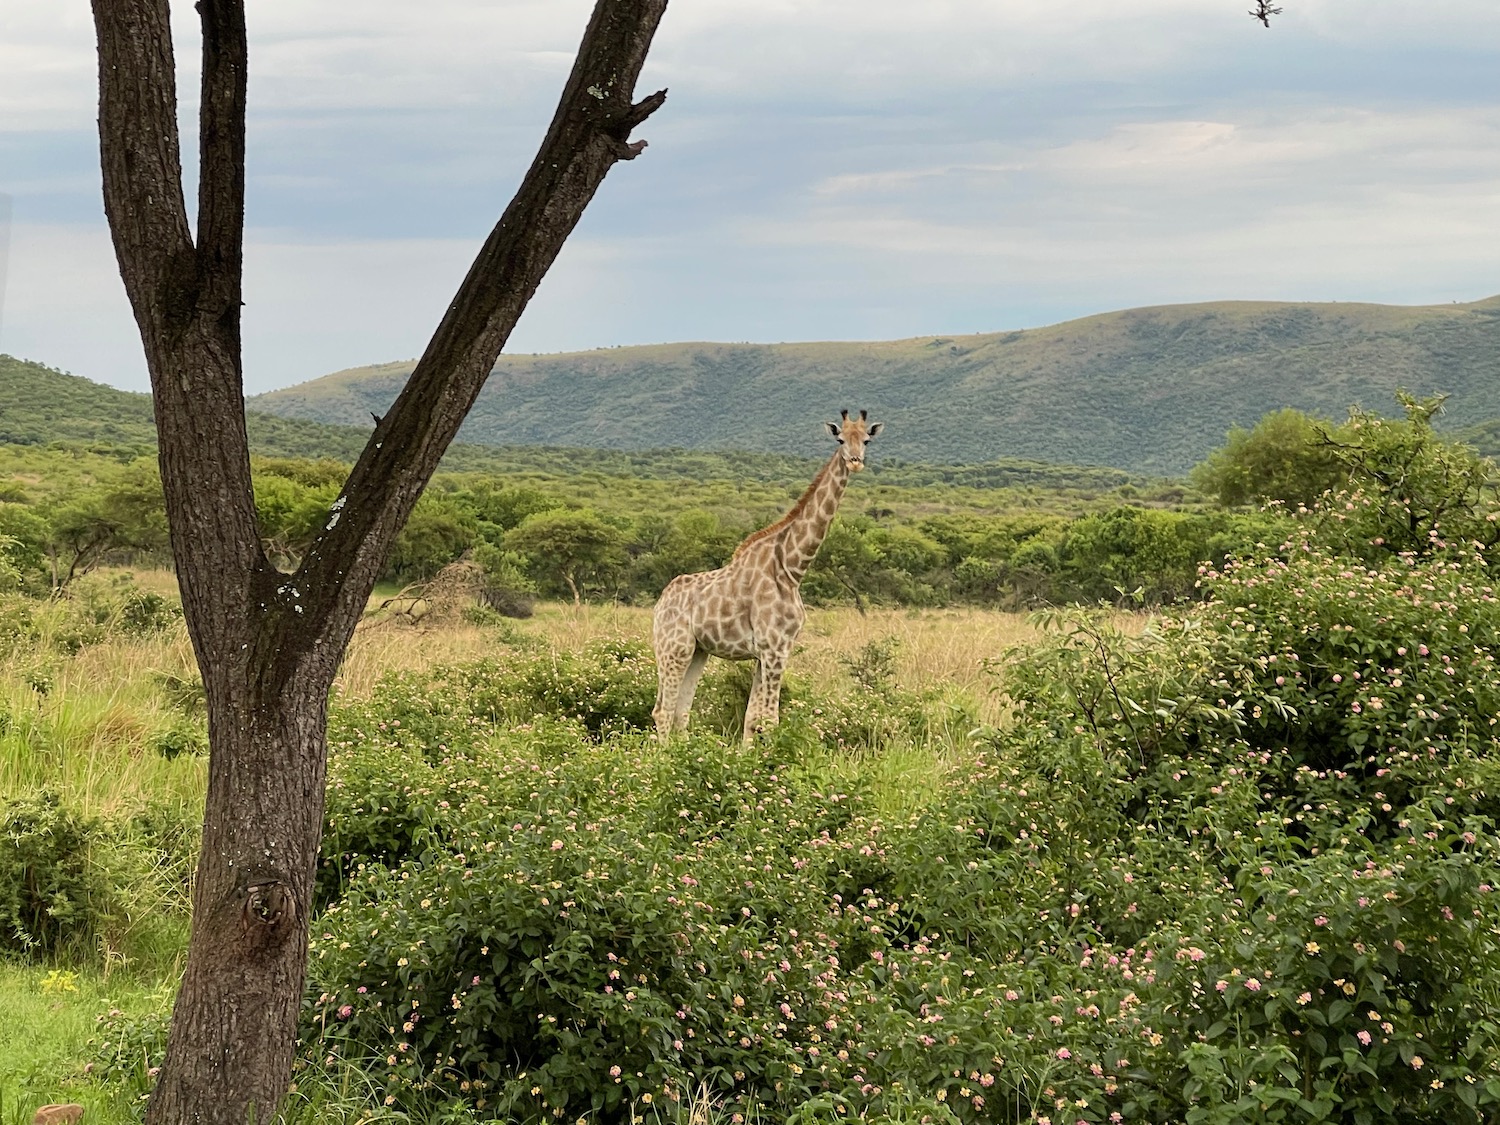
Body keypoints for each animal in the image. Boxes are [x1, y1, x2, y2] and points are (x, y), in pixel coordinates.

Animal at [654, 411, 882, 744]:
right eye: (840, 439)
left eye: (866, 440)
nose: (855, 462)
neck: (792, 567)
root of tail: (658, 604)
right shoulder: (775, 647)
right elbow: (771, 719)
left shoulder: (767, 651)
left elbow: (752, 718)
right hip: (673, 647)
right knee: (662, 711)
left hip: (698, 651)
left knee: (681, 711)